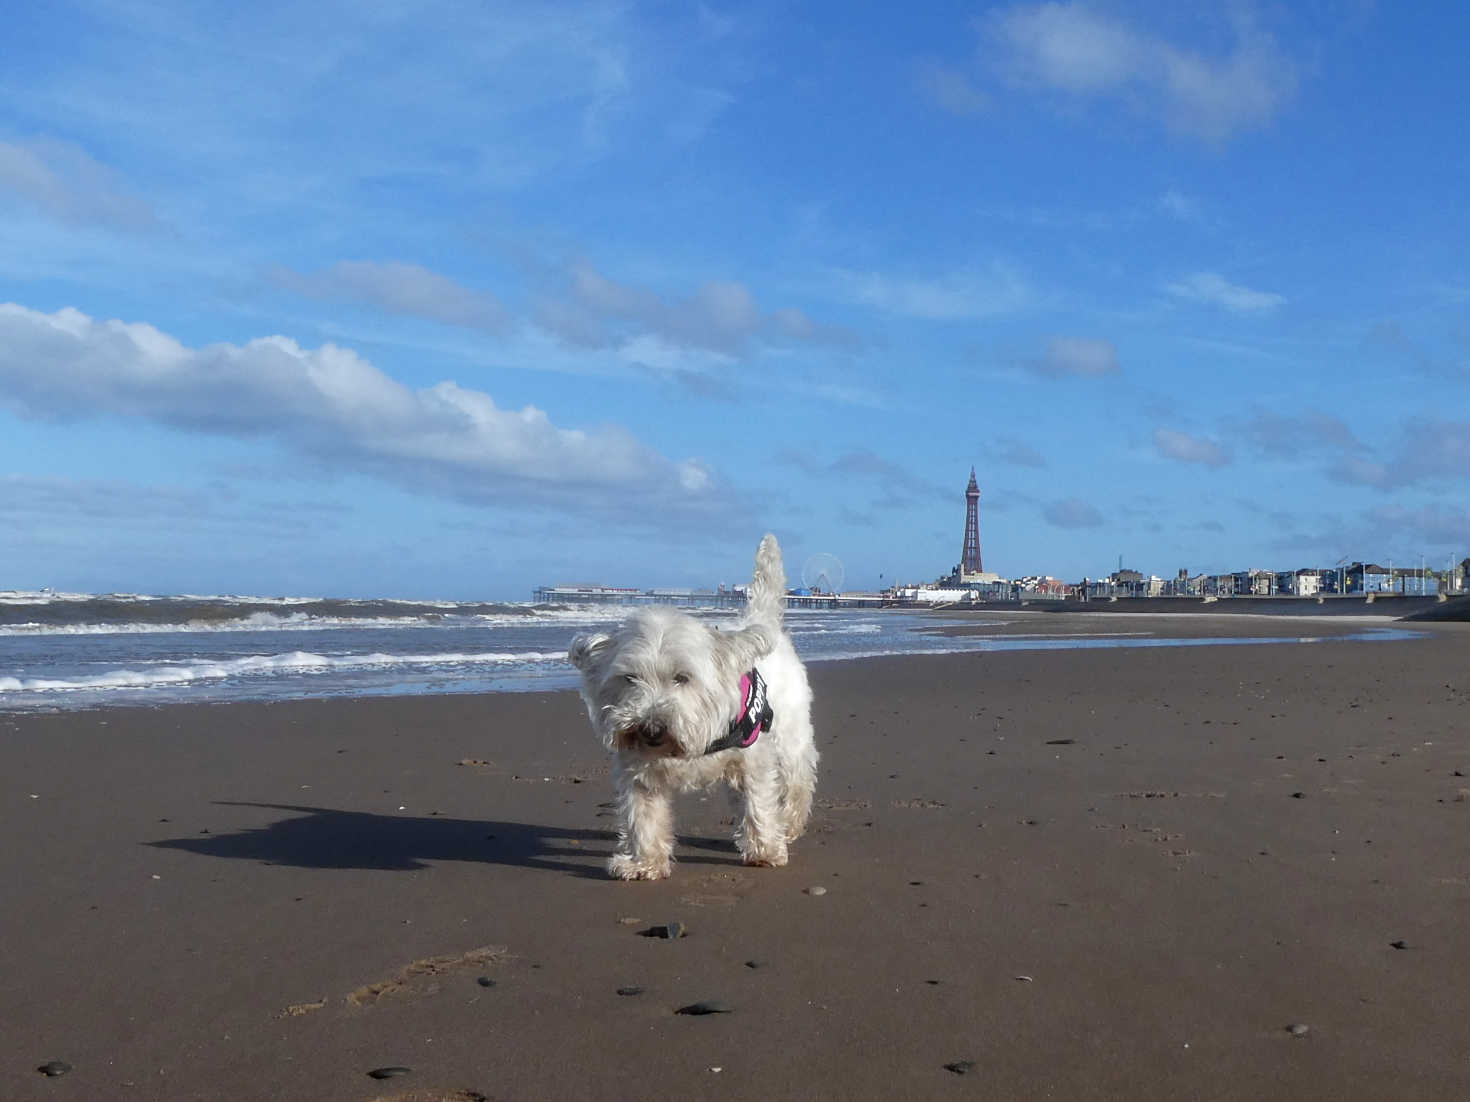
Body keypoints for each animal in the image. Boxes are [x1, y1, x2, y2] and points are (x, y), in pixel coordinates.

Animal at [567, 531, 817, 881]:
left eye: (682, 678)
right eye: (630, 678)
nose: (651, 729)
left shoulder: (753, 760)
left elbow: (759, 802)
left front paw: (765, 850)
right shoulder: (638, 771)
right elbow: (643, 817)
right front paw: (644, 863)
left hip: (791, 734)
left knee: (798, 779)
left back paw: (790, 823)